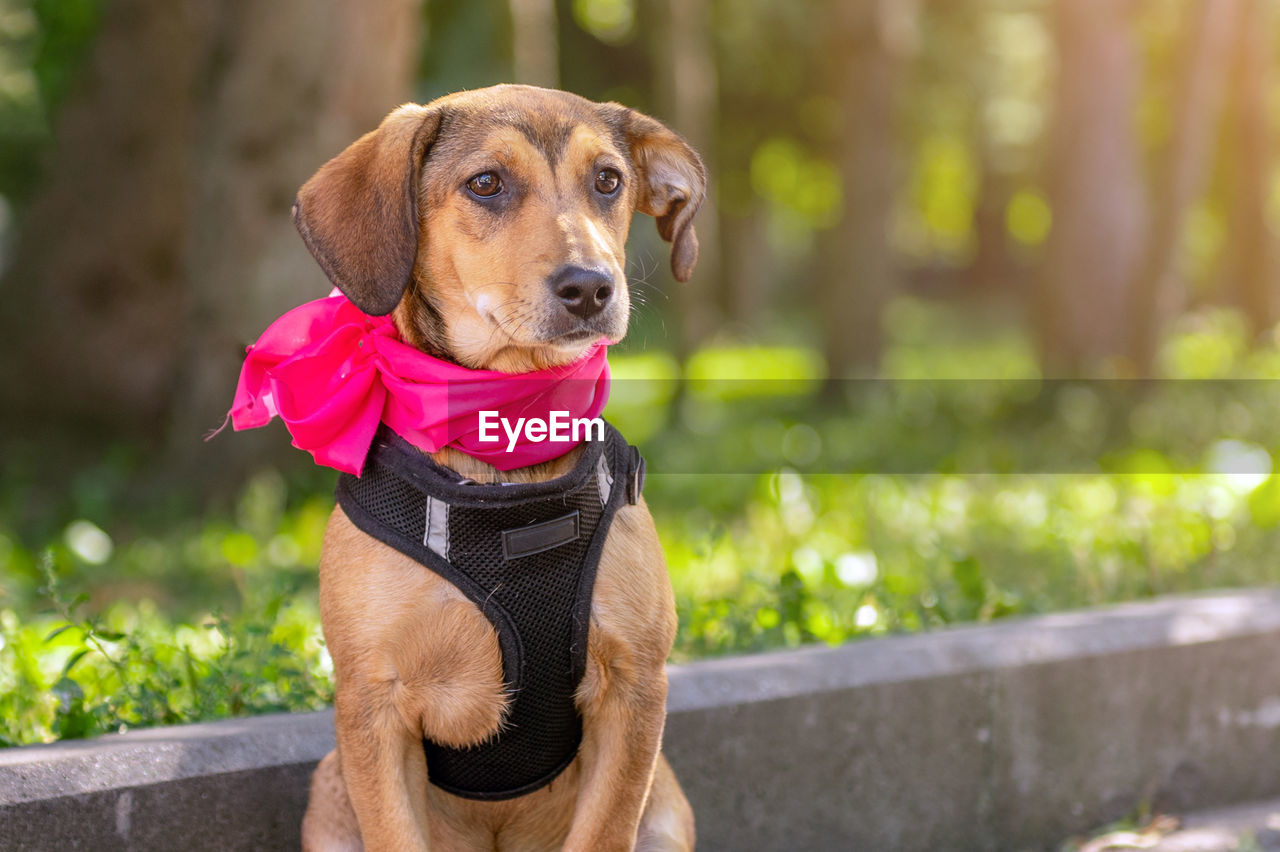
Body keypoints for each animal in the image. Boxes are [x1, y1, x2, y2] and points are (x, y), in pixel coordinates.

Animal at [291, 83, 706, 844]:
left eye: (609, 181)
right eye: (486, 184)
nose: (591, 287)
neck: (506, 444)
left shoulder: (636, 688)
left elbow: (604, 832)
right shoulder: (372, 706)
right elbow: (395, 834)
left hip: (665, 812)